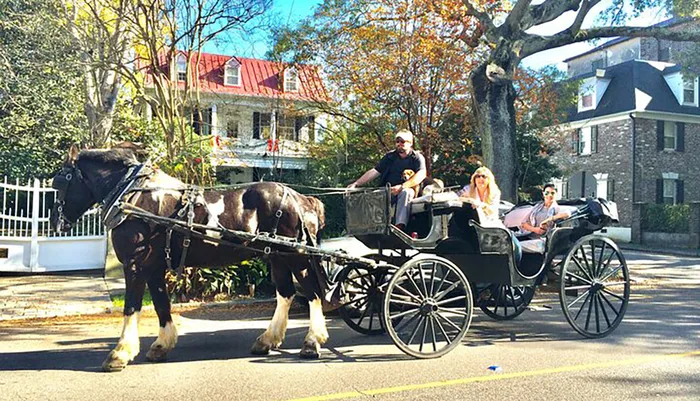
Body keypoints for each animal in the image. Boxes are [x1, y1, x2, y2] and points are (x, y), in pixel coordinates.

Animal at [50, 145, 330, 372]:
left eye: (60, 183)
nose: (55, 223)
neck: (133, 197)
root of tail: (301, 198)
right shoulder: (154, 267)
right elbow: (161, 304)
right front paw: (161, 345)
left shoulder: (136, 263)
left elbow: (131, 306)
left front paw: (120, 354)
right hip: (277, 257)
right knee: (286, 294)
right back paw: (267, 340)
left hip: (295, 257)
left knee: (312, 292)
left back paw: (312, 342)